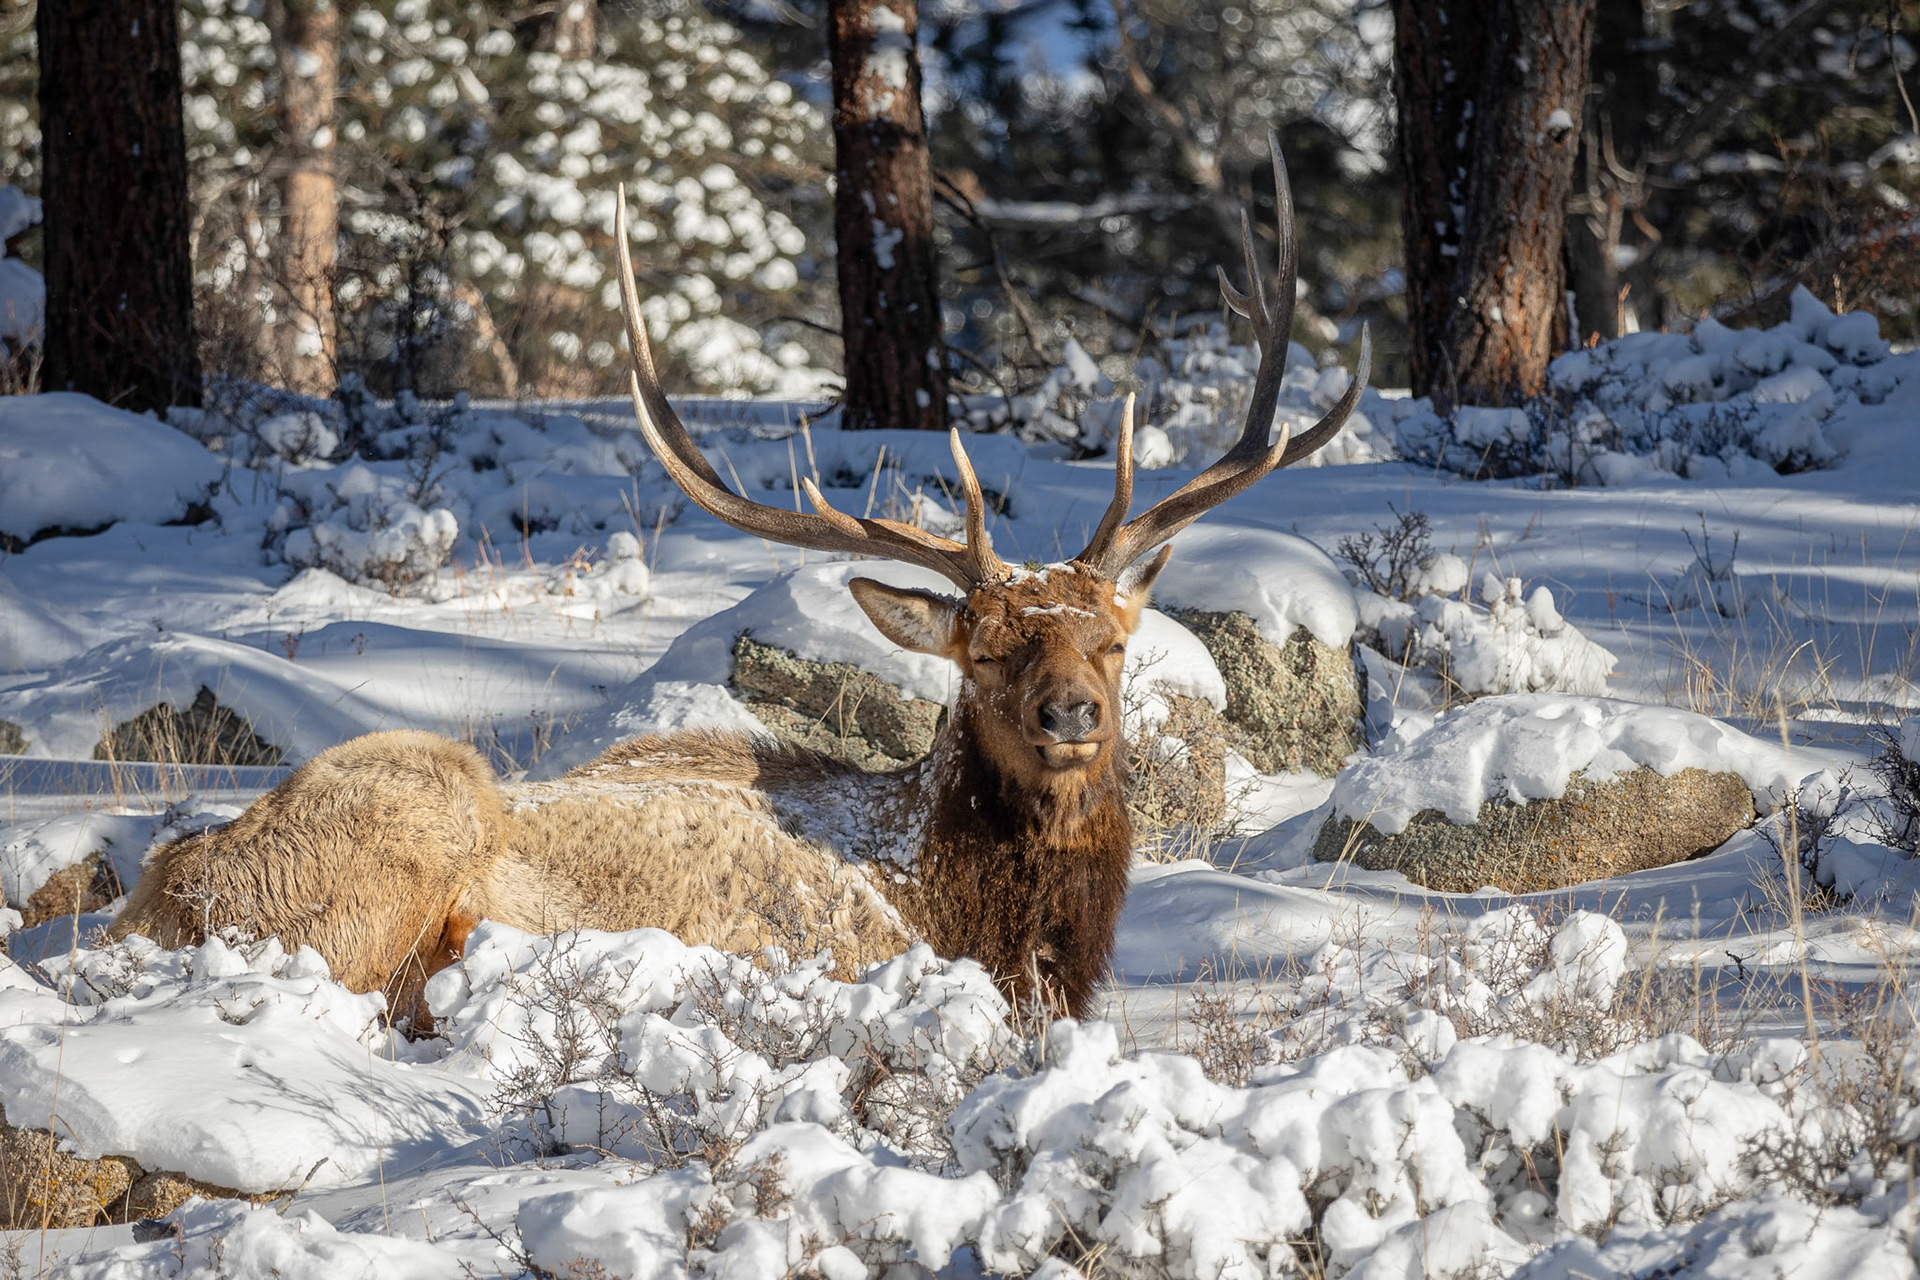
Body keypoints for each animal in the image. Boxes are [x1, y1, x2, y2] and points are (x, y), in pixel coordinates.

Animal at [109, 134, 1367, 1021]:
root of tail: (164, 893)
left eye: (1112, 637)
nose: (1074, 712)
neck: (981, 911)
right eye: (991, 646)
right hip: (409, 813)